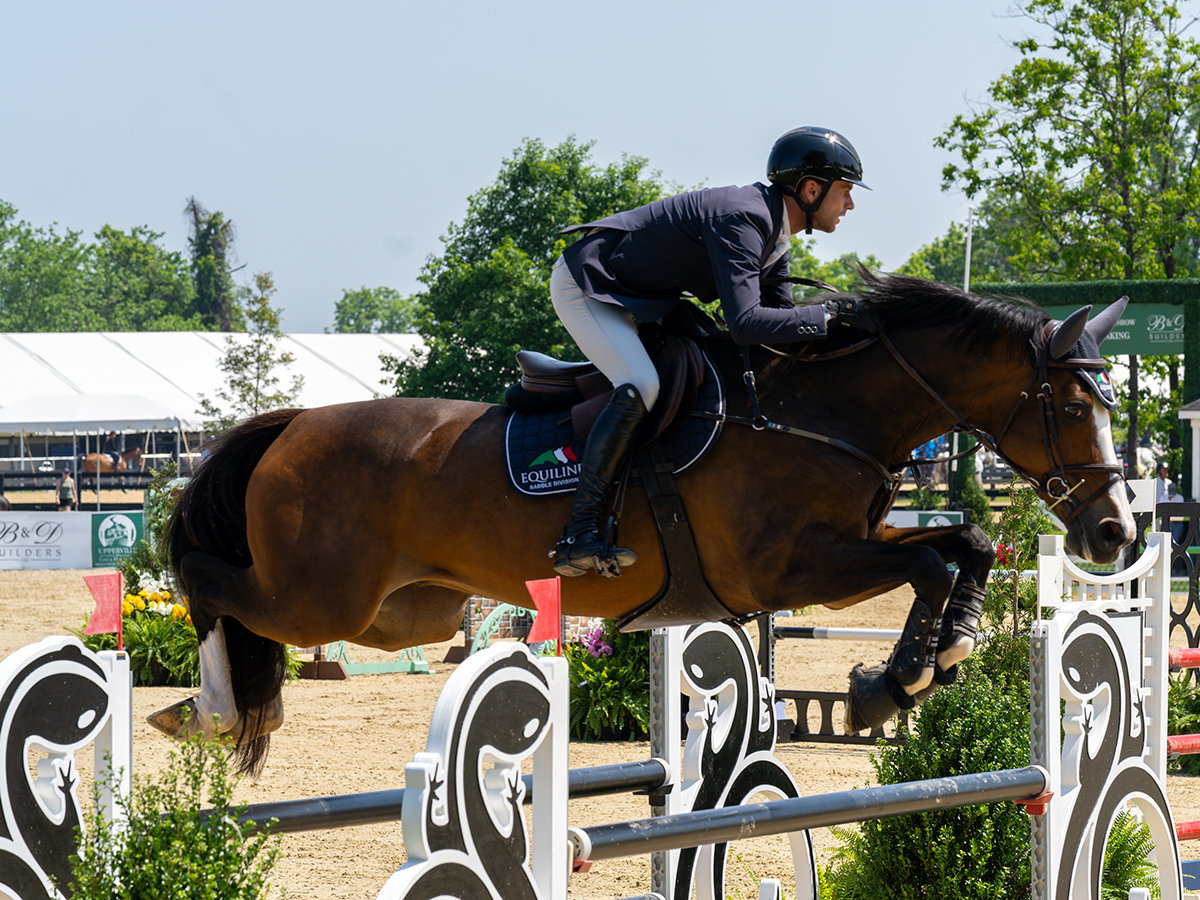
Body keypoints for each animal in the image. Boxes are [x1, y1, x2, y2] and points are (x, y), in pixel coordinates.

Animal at [150, 273, 1135, 775]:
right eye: (1071, 404)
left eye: (1113, 401)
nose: (1115, 534)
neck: (817, 410)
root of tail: (291, 422)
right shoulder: (787, 571)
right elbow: (933, 563)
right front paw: (888, 686)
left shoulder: (835, 554)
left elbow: (963, 545)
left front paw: (939, 657)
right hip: (323, 598)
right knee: (206, 580)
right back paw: (209, 709)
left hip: (402, 614)